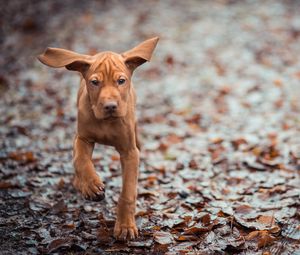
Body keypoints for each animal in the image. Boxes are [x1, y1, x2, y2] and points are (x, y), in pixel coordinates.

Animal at [38, 37, 159, 239]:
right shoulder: (82, 138)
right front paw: (91, 185)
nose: (110, 106)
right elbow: (80, 160)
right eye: (94, 82)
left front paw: (125, 226)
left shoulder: (129, 152)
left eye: (121, 81)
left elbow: (128, 191)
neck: (106, 123)